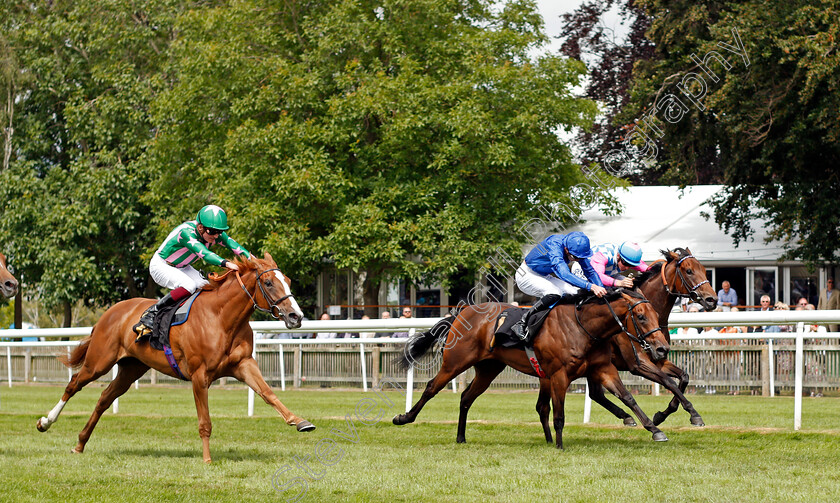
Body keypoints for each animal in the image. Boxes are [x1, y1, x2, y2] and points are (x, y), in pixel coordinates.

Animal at [33, 254, 318, 462]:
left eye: (288, 280)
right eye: (268, 283)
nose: (296, 316)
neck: (221, 317)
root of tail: (110, 312)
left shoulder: (243, 364)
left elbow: (268, 394)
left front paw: (300, 421)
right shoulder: (200, 375)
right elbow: (205, 421)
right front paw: (207, 460)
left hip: (131, 368)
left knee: (104, 398)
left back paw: (80, 444)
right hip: (99, 361)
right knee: (74, 384)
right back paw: (46, 422)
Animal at [392, 290, 668, 450]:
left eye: (657, 313)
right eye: (641, 316)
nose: (662, 348)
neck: (584, 327)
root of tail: (461, 312)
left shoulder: (603, 369)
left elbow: (628, 397)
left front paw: (654, 429)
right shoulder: (559, 375)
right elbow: (559, 414)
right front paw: (559, 446)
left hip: (488, 369)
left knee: (466, 397)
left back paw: (461, 437)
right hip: (455, 362)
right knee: (431, 387)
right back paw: (404, 418)